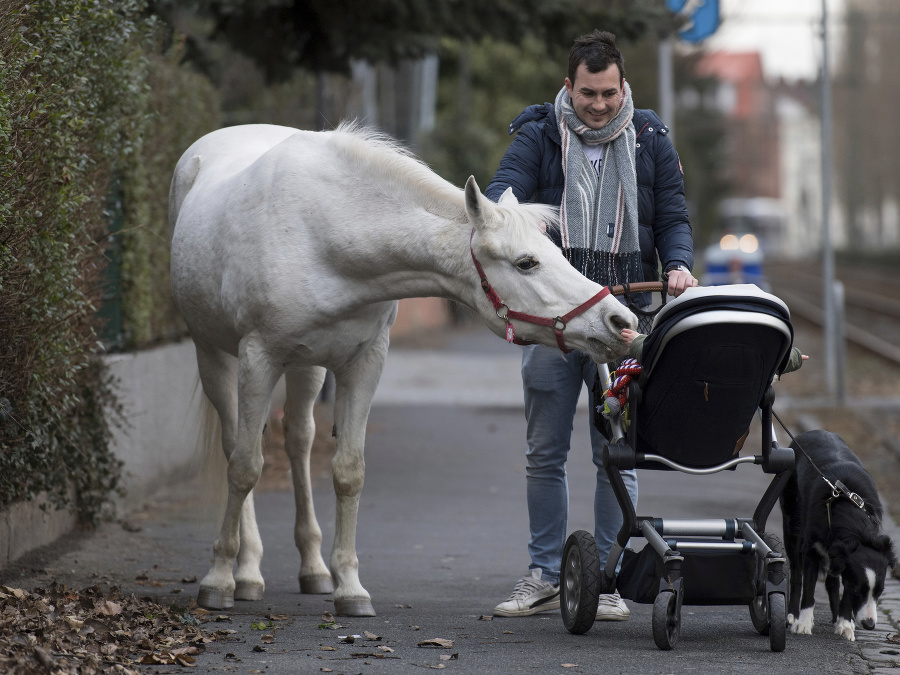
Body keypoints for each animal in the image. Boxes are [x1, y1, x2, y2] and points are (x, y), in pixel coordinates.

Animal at [167, 123, 632, 616]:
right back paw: (247, 570)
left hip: (306, 367)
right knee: (236, 444)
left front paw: (350, 588)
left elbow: (348, 472)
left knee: (298, 441)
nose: (619, 321)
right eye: (527, 262)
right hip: (215, 355)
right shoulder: (258, 357)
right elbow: (244, 467)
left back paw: (311, 568)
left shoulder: (365, 362)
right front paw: (218, 579)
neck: (323, 234)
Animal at [776, 430, 896, 640]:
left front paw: (845, 624)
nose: (870, 625)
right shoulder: (812, 549)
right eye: (858, 590)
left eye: (879, 592)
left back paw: (836, 617)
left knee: (831, 580)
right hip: (791, 525)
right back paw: (792, 615)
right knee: (797, 574)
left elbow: (843, 588)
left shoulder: (844, 559)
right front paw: (803, 624)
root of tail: (810, 433)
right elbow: (808, 588)